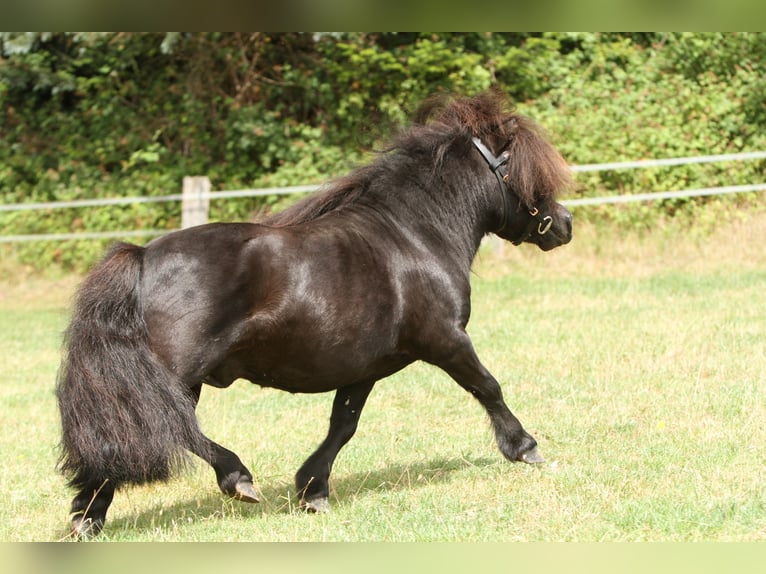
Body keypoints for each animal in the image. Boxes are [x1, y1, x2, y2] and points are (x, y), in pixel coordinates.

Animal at [56, 91, 574, 539]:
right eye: (531, 173)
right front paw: (525, 447)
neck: (414, 236)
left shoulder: (364, 367)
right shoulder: (446, 340)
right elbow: (488, 386)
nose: (565, 224)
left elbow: (342, 425)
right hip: (177, 377)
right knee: (168, 427)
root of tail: (143, 257)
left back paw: (87, 518)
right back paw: (236, 479)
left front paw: (313, 489)